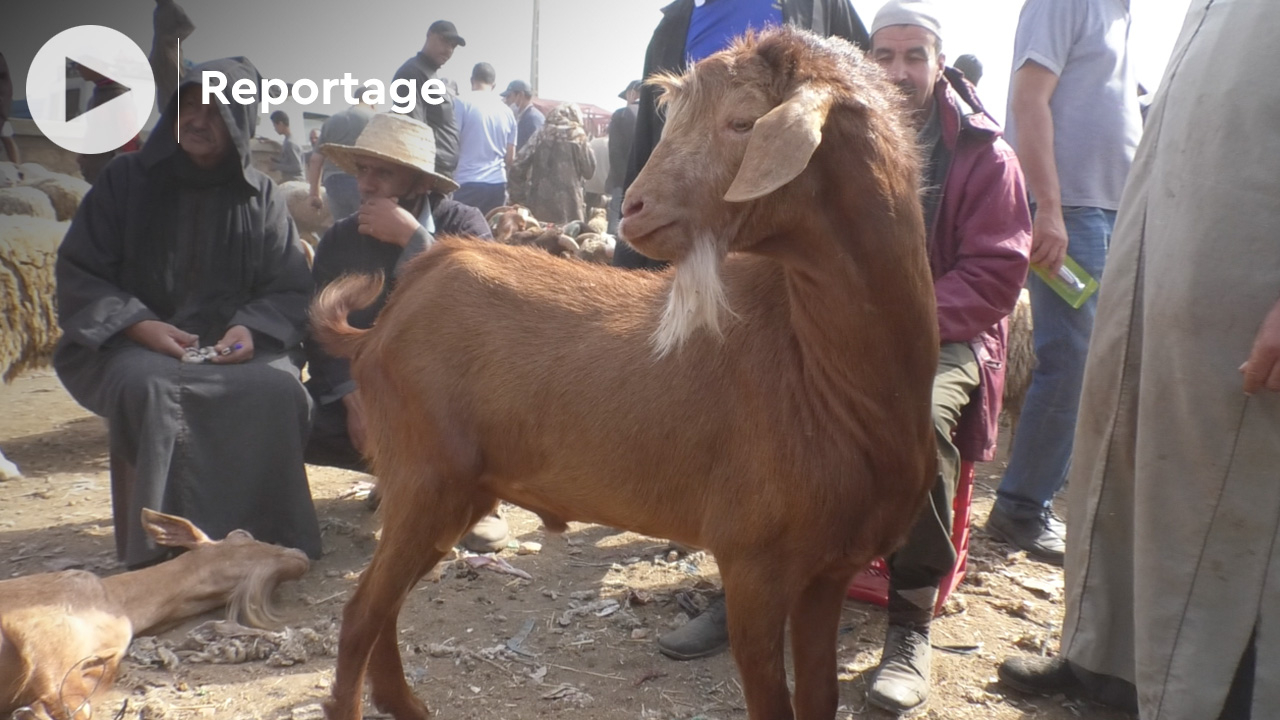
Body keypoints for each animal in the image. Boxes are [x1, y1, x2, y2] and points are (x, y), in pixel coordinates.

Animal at [309, 26, 931, 717]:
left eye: (744, 122)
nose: (633, 207)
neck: (822, 369)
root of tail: (391, 313)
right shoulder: (754, 563)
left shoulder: (829, 571)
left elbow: (821, 693)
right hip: (424, 476)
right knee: (362, 612)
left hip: (456, 489)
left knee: (386, 606)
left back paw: (406, 704)